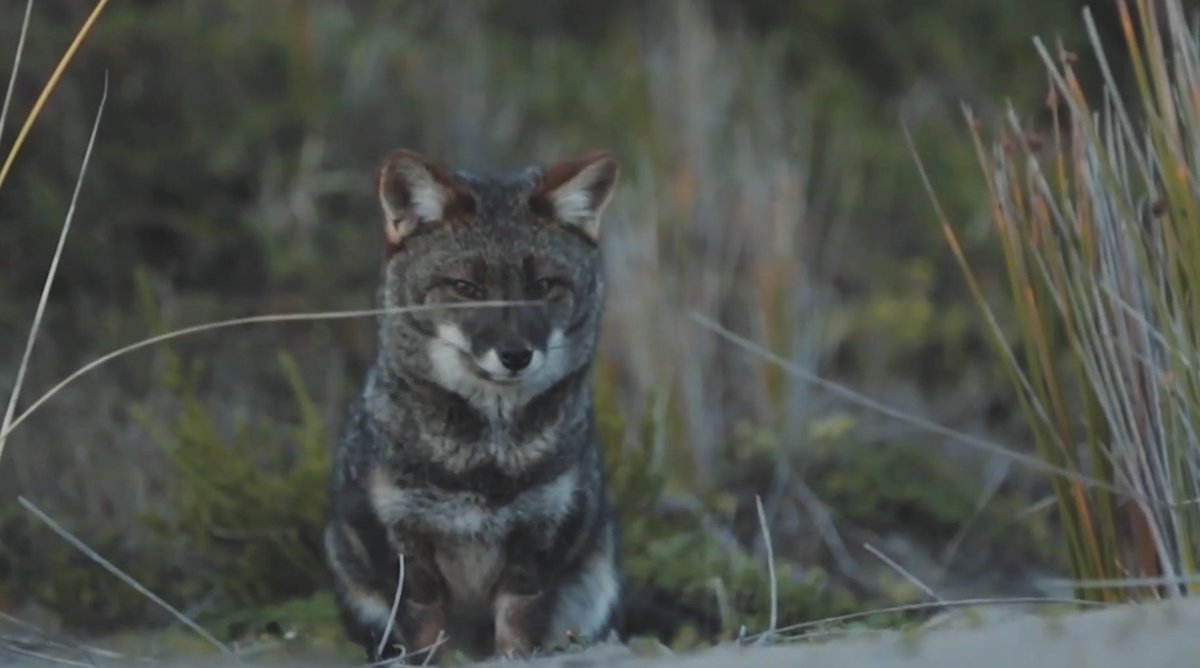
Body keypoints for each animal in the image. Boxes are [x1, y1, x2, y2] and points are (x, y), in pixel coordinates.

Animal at [323, 147, 623, 664]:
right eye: (466, 288)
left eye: (542, 286)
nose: (516, 354)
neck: (485, 462)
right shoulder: (406, 548)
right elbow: (428, 635)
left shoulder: (538, 541)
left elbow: (518, 631)